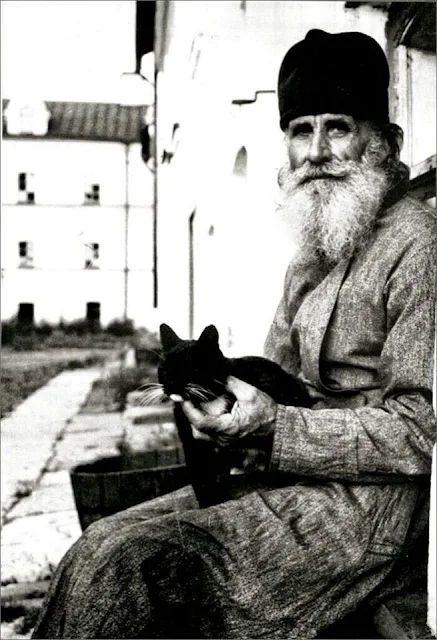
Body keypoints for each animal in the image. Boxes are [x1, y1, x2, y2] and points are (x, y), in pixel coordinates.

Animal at [155, 323, 313, 507]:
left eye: (190, 368)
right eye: (164, 369)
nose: (171, 383)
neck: (209, 401)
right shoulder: (193, 444)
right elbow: (201, 478)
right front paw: (209, 504)